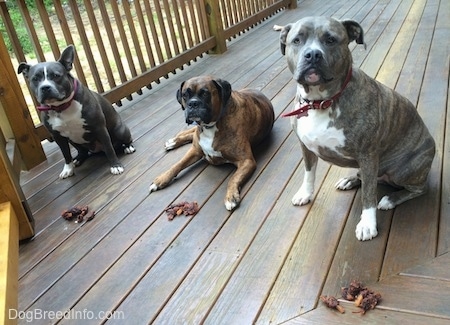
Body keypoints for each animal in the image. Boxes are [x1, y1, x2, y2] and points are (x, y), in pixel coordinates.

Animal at [18, 44, 134, 178]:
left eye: (56, 76)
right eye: (35, 79)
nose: (45, 87)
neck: (61, 107)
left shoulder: (100, 128)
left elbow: (110, 149)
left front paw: (116, 165)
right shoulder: (58, 137)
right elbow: (66, 154)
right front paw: (68, 168)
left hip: (120, 131)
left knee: (122, 141)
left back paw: (128, 147)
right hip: (73, 141)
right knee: (82, 150)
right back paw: (78, 159)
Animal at [149, 75, 274, 210]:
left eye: (205, 93)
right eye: (185, 95)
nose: (193, 103)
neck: (210, 126)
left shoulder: (246, 161)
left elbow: (233, 178)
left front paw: (231, 196)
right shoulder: (195, 150)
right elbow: (178, 165)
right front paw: (161, 179)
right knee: (191, 132)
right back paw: (174, 141)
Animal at [278, 17, 436, 240]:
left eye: (331, 40)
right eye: (297, 40)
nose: (313, 54)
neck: (320, 102)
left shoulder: (368, 154)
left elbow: (368, 196)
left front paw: (368, 224)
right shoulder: (306, 147)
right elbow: (309, 173)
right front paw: (305, 194)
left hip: (404, 169)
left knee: (418, 188)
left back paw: (391, 199)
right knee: (367, 178)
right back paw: (350, 180)